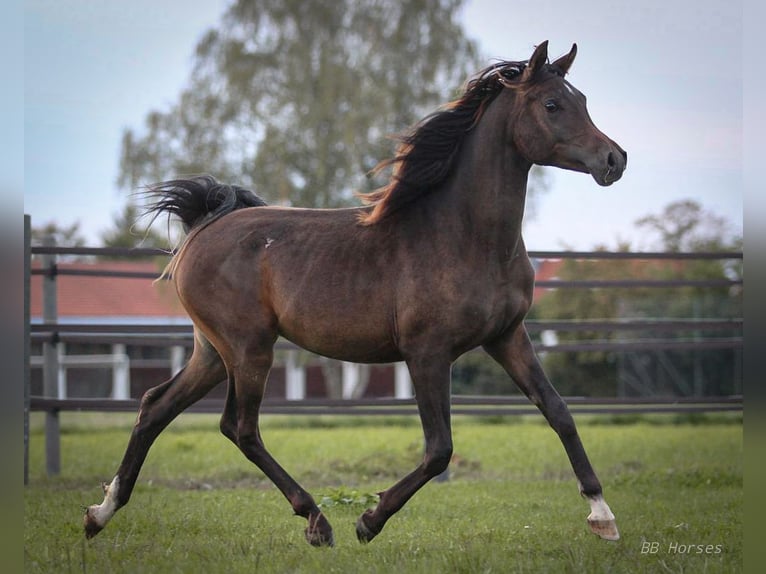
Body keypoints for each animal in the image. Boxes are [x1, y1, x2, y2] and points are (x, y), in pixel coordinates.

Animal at [87, 41, 632, 548]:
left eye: (581, 98)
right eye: (552, 105)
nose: (615, 159)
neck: (465, 237)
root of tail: (204, 225)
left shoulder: (508, 337)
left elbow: (559, 412)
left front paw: (602, 516)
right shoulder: (427, 352)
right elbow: (440, 448)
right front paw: (369, 520)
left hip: (214, 352)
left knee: (157, 406)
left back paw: (99, 513)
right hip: (248, 347)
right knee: (240, 427)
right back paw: (317, 521)